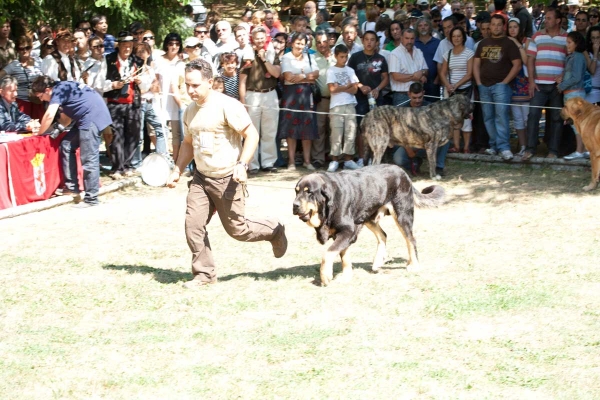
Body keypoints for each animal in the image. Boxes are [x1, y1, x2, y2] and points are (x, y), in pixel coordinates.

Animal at [290, 164, 446, 286]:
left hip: (402, 215)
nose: (295, 205)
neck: (327, 206)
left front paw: (325, 276)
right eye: (296, 192)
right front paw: (346, 276)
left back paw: (413, 265)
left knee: (411, 239)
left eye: (309, 193)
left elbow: (328, 253)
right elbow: (344, 256)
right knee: (383, 235)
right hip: (368, 217)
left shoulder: (348, 231)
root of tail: (403, 173)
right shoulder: (343, 234)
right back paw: (378, 262)